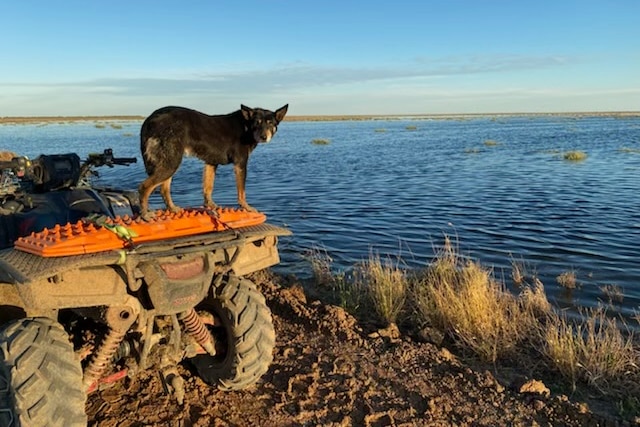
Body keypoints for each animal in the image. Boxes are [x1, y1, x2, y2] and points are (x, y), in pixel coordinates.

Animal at [140, 102, 290, 219]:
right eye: (257, 123)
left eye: (270, 123)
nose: (264, 137)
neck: (246, 126)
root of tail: (150, 119)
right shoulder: (240, 164)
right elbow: (242, 191)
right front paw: (246, 207)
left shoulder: (211, 163)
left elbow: (208, 187)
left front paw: (210, 206)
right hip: (172, 162)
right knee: (144, 187)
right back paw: (145, 214)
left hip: (170, 161)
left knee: (163, 189)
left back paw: (172, 208)